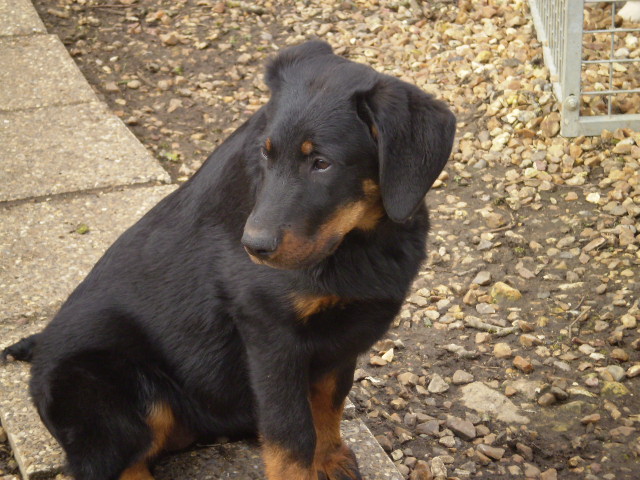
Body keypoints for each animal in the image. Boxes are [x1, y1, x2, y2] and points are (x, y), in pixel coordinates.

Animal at [2, 41, 455, 480]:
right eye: (267, 154)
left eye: (322, 163)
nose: (253, 247)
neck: (358, 240)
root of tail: (37, 355)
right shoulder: (270, 334)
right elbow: (292, 437)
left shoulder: (341, 342)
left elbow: (328, 405)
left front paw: (330, 458)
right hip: (116, 393)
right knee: (106, 466)